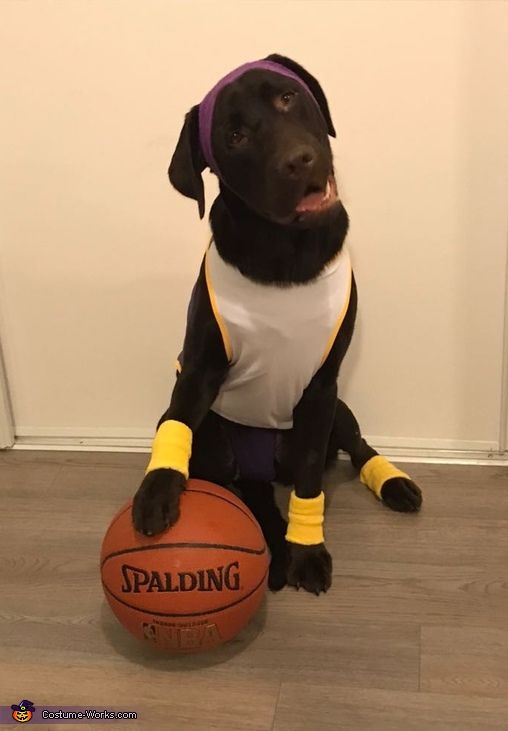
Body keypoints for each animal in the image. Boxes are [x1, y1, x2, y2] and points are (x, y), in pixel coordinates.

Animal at [131, 55, 420, 596]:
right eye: (235, 136)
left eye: (287, 97)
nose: (299, 160)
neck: (285, 254)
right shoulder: (199, 369)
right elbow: (179, 421)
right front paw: (157, 490)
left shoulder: (323, 386)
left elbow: (309, 475)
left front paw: (306, 549)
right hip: (218, 443)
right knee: (243, 482)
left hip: (337, 411)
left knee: (353, 445)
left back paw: (391, 482)